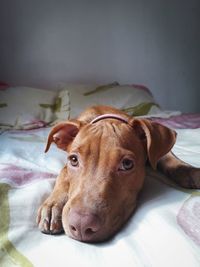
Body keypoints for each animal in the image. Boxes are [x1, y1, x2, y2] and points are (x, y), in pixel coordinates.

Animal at [36, 105, 200, 244]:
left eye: (127, 164)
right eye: (74, 160)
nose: (81, 225)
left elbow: (168, 156)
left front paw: (188, 170)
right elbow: (63, 174)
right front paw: (53, 206)